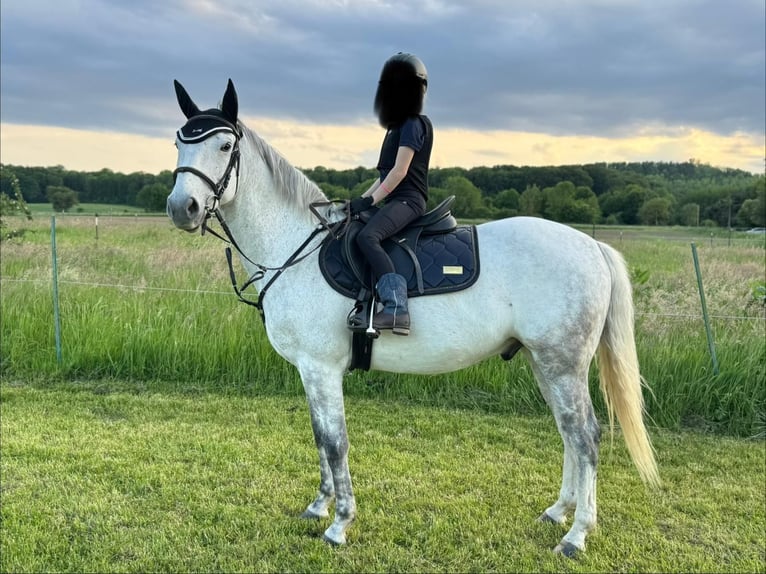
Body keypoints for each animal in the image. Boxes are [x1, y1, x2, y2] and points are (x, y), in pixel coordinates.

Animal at [166, 79, 659, 557]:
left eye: (225, 146)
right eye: (178, 143)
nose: (181, 207)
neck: (295, 248)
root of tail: (592, 246)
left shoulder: (322, 368)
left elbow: (336, 441)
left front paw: (340, 524)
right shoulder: (310, 370)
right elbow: (320, 437)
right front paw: (319, 506)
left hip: (563, 362)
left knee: (585, 436)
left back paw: (576, 535)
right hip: (545, 362)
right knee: (568, 432)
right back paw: (558, 512)